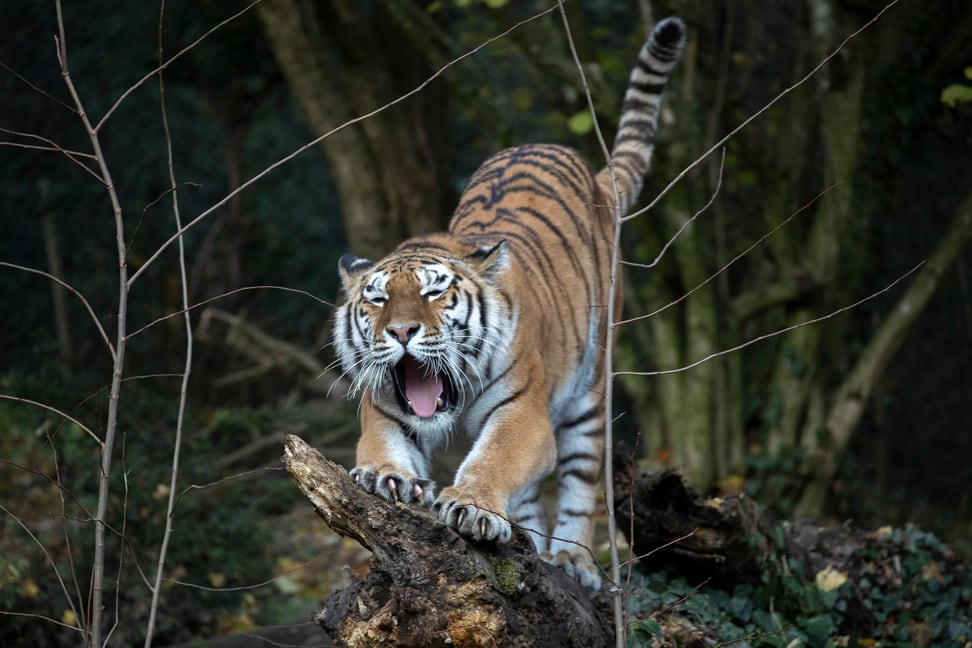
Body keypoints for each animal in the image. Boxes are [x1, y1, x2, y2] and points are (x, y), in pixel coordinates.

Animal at [334, 19, 684, 588]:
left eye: (433, 292)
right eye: (379, 300)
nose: (402, 332)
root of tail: (593, 177)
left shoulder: (523, 411)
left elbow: (495, 459)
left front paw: (472, 505)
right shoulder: (385, 405)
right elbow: (380, 444)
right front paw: (385, 476)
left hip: (591, 394)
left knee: (580, 482)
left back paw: (571, 563)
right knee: (530, 502)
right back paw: (531, 546)